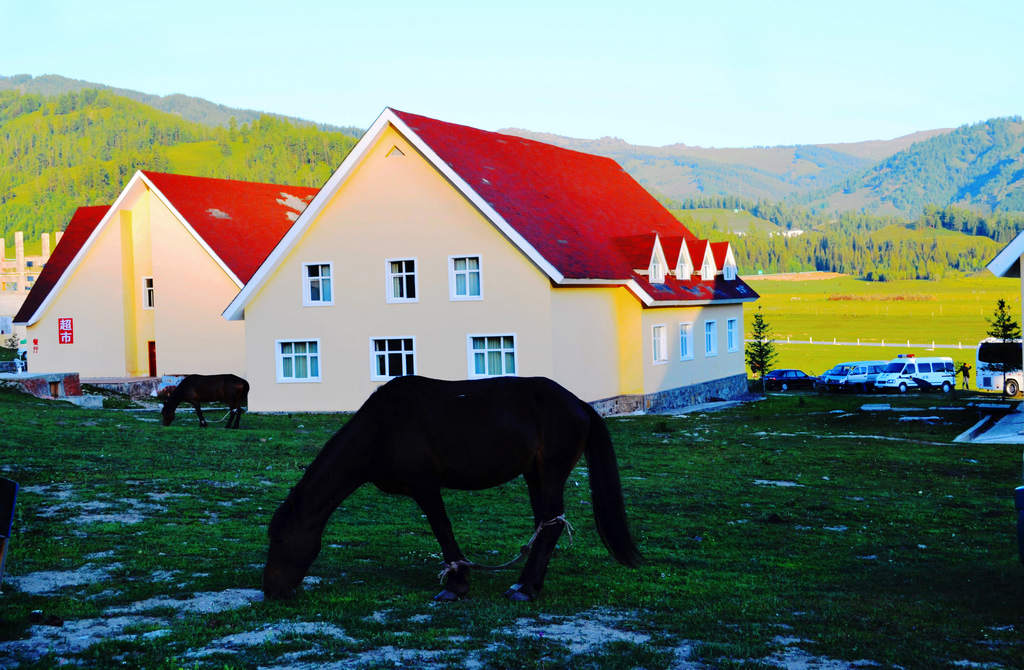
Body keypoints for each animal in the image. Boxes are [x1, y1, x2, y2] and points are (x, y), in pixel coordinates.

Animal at [260, 377, 638, 602]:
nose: (271, 590)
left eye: (280, 539)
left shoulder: (425, 486)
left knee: (551, 526)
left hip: (550, 474)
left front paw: (456, 585)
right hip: (534, 475)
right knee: (546, 525)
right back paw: (525, 584)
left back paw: (526, 589)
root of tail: (580, 404)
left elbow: (442, 530)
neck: (381, 428)